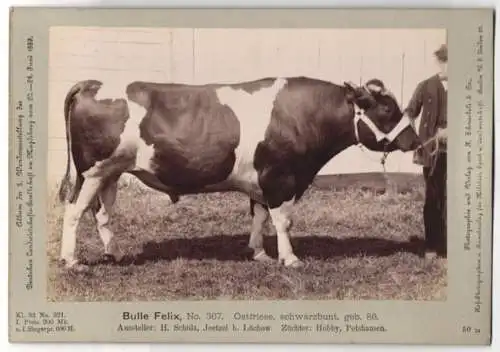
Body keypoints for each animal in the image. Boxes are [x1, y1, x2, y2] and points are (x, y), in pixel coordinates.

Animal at [56, 75, 420, 270]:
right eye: (387, 108)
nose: (414, 139)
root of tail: (93, 83)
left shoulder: (262, 181)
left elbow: (259, 217)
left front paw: (259, 253)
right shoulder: (280, 177)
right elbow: (283, 221)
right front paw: (290, 259)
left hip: (111, 173)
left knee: (102, 213)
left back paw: (114, 253)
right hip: (91, 171)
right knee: (73, 211)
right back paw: (71, 261)